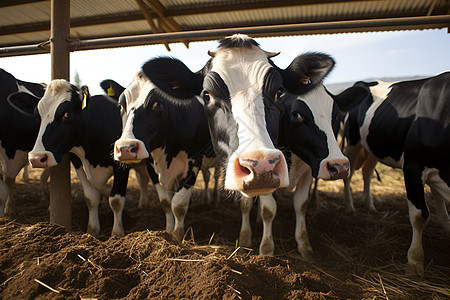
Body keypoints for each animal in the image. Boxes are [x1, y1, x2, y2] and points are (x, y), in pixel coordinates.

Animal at [342, 74, 450, 276]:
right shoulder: (412, 168)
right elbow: (420, 216)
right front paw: (415, 261)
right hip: (353, 141)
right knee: (348, 174)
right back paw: (349, 207)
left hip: (374, 147)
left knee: (367, 174)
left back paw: (369, 205)